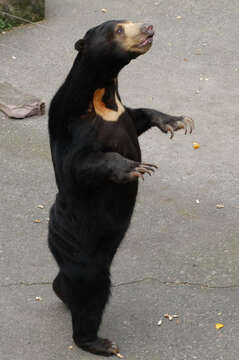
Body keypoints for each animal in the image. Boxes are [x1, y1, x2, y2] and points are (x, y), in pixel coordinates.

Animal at [47, 19, 194, 358]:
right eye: (118, 29)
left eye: (129, 21)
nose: (149, 27)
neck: (104, 94)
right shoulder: (72, 123)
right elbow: (80, 164)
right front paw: (135, 167)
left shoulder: (123, 112)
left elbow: (140, 116)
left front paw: (177, 121)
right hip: (77, 244)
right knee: (90, 290)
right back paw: (98, 342)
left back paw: (61, 292)